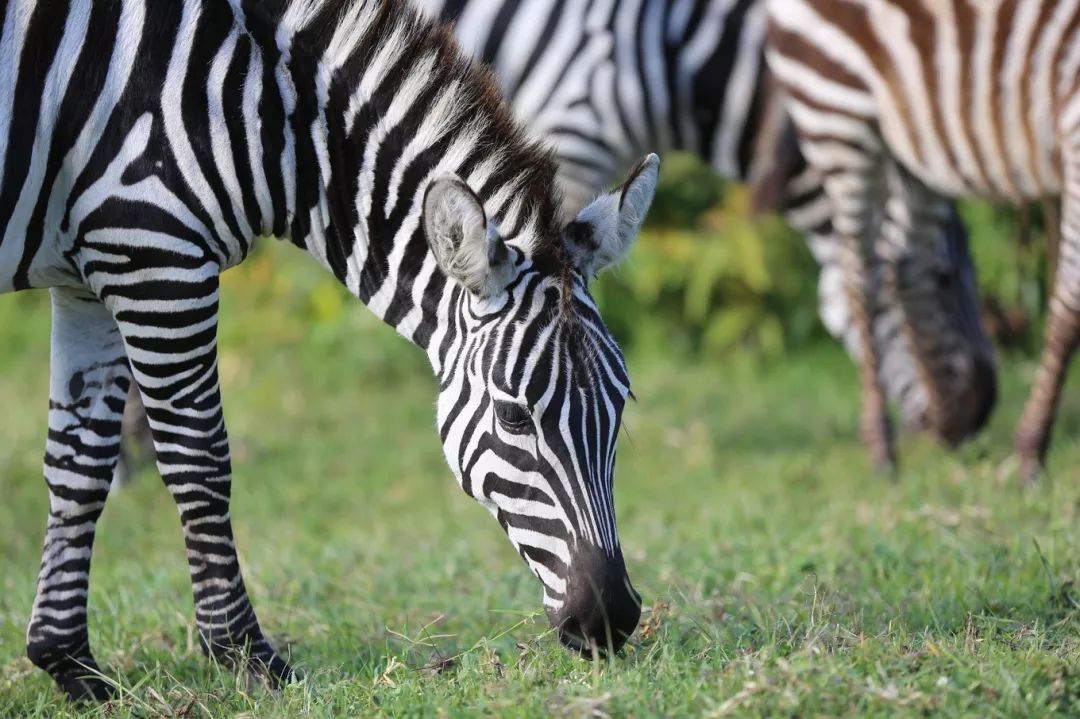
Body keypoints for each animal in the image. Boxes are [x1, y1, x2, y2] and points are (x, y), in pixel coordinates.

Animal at [8, 0, 656, 695]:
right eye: (513, 416)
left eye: (623, 404)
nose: (612, 621)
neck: (256, 114)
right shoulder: (154, 253)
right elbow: (198, 461)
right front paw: (246, 656)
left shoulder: (88, 274)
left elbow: (78, 465)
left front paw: (70, 664)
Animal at [768, 1, 1080, 481]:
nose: (983, 405)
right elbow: (1069, 302)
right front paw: (1030, 455)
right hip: (837, 110)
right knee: (861, 273)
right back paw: (884, 448)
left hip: (915, 132)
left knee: (906, 262)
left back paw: (948, 417)